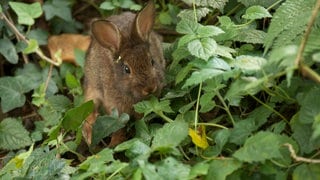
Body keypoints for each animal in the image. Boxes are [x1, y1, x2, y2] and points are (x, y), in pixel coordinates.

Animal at [81, 0, 166, 146]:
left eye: (152, 61)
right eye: (127, 69)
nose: (150, 88)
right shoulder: (115, 108)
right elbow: (118, 127)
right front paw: (115, 143)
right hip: (92, 86)